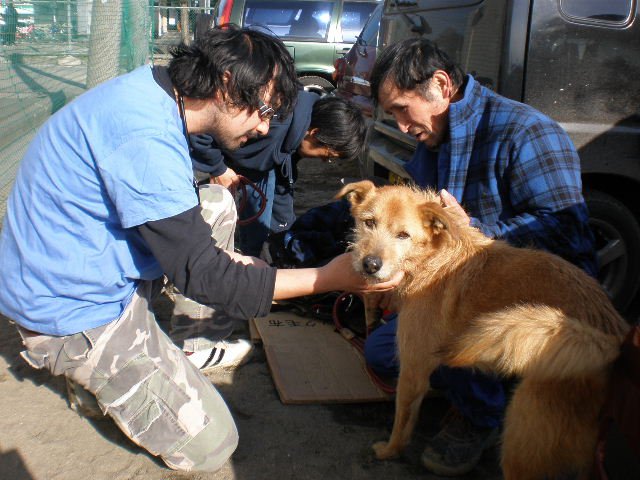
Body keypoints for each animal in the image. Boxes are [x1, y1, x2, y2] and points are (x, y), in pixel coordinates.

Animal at [338, 181, 628, 480]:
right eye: (369, 222)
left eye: (403, 235)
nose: (370, 264)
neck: (432, 257)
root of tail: (611, 341)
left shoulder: (413, 369)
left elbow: (402, 420)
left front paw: (389, 450)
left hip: (522, 436)